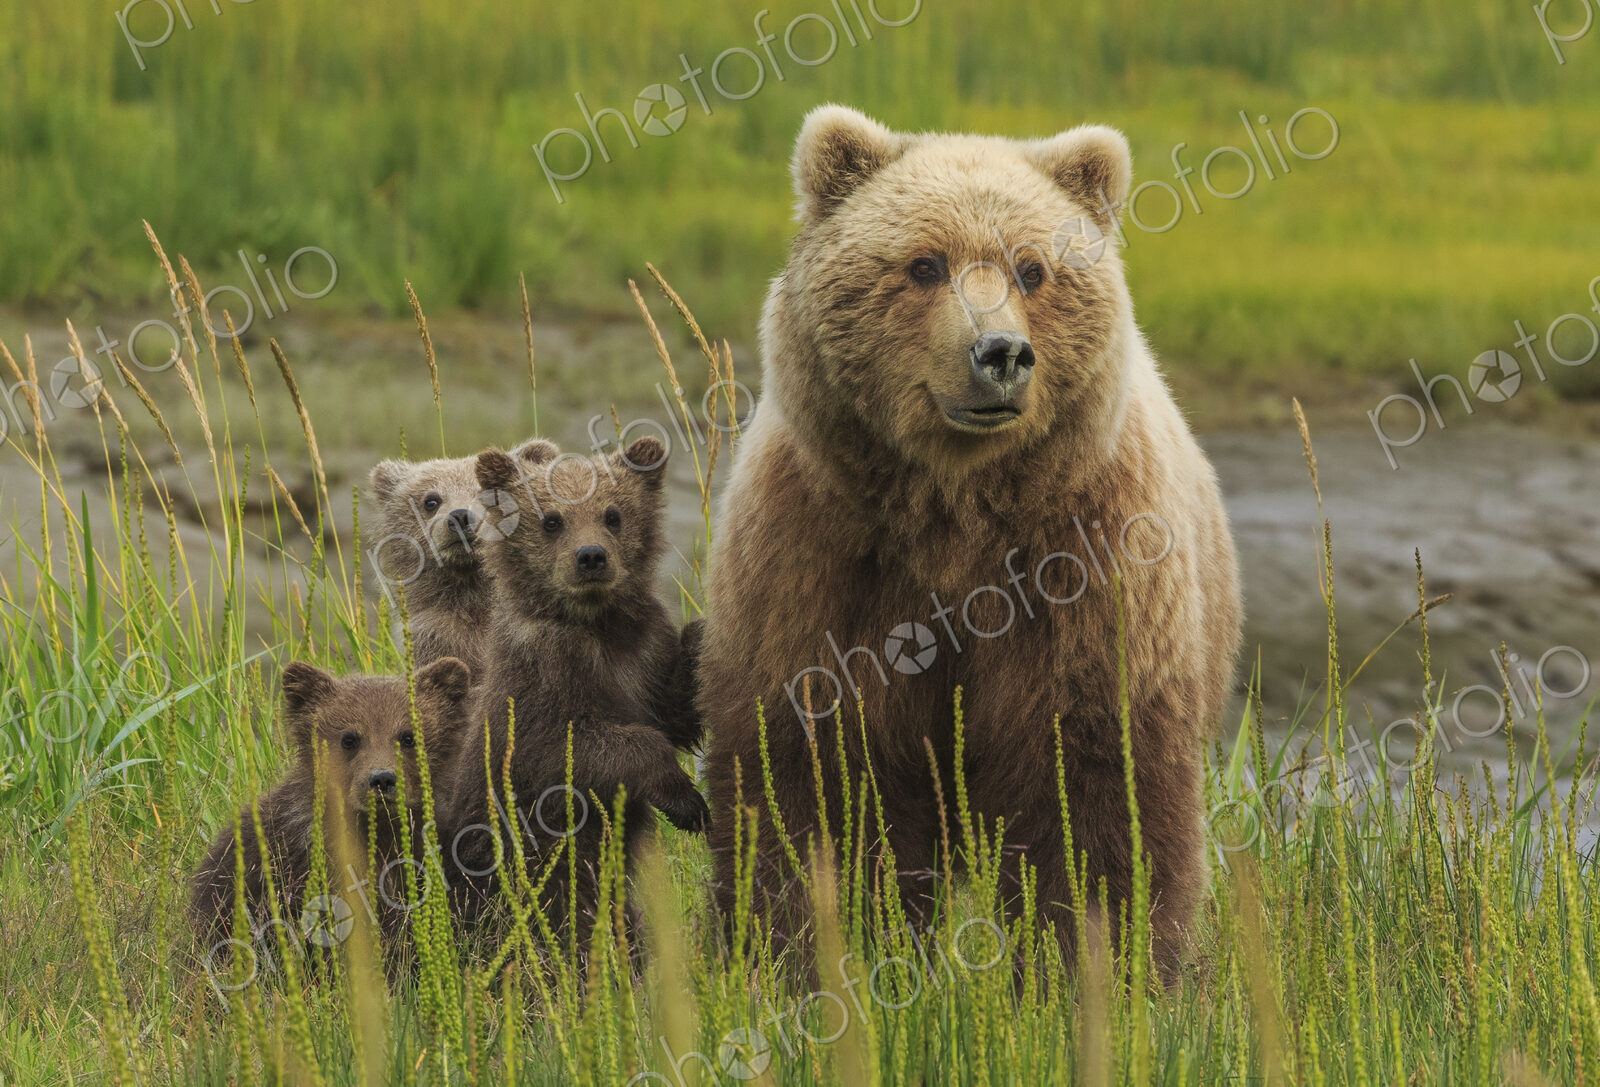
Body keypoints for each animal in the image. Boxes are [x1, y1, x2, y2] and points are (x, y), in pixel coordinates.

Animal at [436, 436, 707, 953]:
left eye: (613, 514)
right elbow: (571, 748)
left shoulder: (643, 655)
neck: (595, 624)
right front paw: (686, 799)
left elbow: (675, 711)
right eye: (552, 520)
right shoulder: (541, 682)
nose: (591, 557)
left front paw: (706, 636)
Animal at [698, 105, 1242, 976]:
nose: (1000, 353)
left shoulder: (1084, 567)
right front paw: (810, 948)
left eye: (1032, 269)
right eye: (924, 264)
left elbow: (1092, 793)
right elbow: (822, 784)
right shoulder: (823, 558)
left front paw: (1097, 963)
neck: (956, 511)